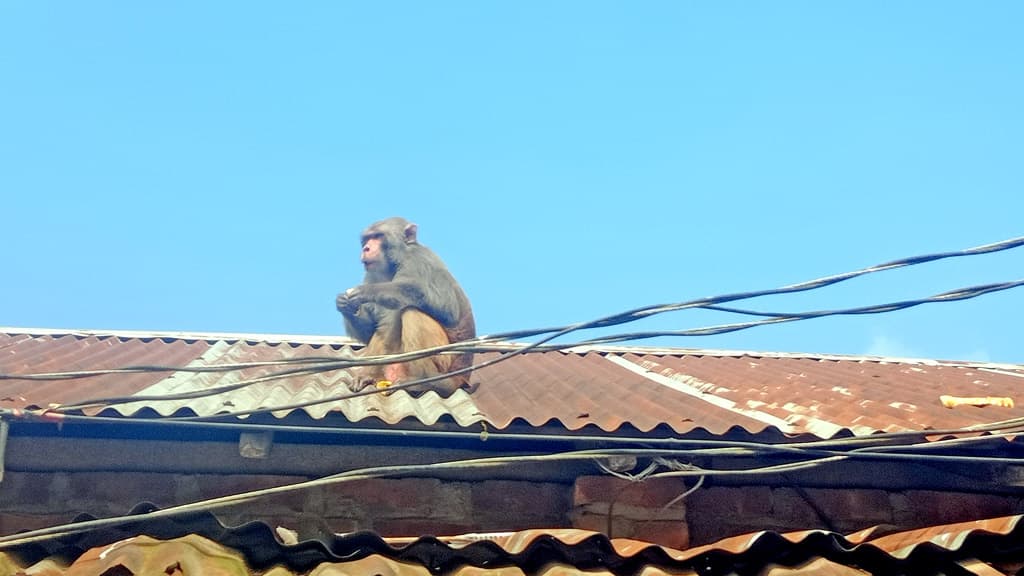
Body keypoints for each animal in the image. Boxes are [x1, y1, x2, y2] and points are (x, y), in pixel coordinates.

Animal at [337, 215, 477, 393]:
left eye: (377, 236)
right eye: (367, 239)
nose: (366, 248)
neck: (394, 263)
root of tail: (461, 377)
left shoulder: (418, 260)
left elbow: (446, 307)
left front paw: (366, 291)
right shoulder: (372, 275)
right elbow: (370, 331)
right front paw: (345, 306)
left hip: (444, 362)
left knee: (411, 312)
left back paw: (427, 382)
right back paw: (368, 376)